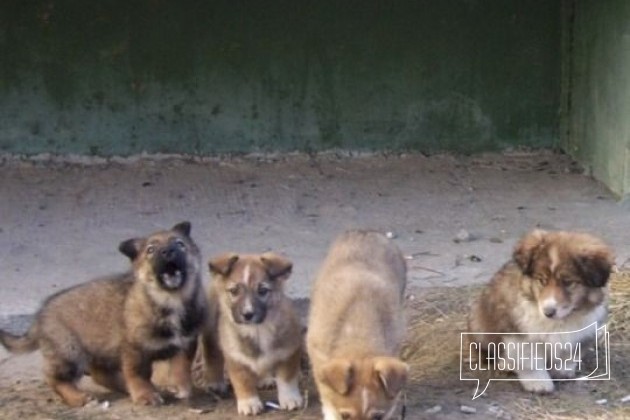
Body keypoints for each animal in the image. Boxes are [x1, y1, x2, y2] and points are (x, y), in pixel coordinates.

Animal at [0, 223, 209, 406]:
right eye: (151, 250)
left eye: (180, 244)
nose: (168, 252)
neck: (169, 300)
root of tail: (39, 317)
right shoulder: (134, 350)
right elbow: (138, 375)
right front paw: (145, 395)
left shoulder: (185, 343)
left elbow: (181, 367)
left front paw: (182, 388)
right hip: (69, 351)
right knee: (55, 378)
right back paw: (78, 398)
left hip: (101, 348)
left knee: (101, 375)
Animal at [201, 251, 302, 416]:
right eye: (234, 291)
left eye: (262, 291)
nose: (248, 314)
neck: (257, 330)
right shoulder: (235, 357)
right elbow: (243, 382)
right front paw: (249, 403)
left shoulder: (289, 351)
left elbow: (287, 378)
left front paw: (290, 398)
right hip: (211, 333)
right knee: (213, 356)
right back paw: (215, 382)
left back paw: (265, 379)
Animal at [472, 228, 616, 392]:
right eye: (542, 280)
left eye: (568, 282)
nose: (548, 312)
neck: (561, 321)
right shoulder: (519, 333)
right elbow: (531, 362)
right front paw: (539, 383)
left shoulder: (584, 331)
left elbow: (568, 354)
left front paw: (562, 371)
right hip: (480, 327)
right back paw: (506, 363)